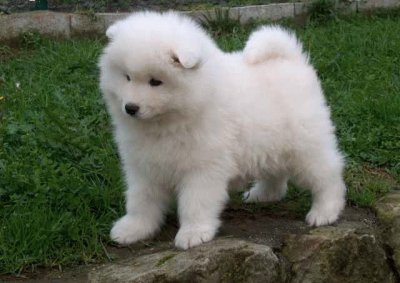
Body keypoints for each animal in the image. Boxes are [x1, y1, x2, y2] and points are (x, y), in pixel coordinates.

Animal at [98, 10, 346, 251]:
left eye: (155, 82)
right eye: (127, 77)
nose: (130, 108)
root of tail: (290, 58)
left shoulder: (203, 167)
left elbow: (195, 202)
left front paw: (193, 233)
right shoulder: (143, 166)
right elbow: (141, 200)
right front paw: (133, 229)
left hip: (306, 144)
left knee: (328, 175)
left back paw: (325, 211)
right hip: (270, 143)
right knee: (276, 174)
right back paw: (262, 194)